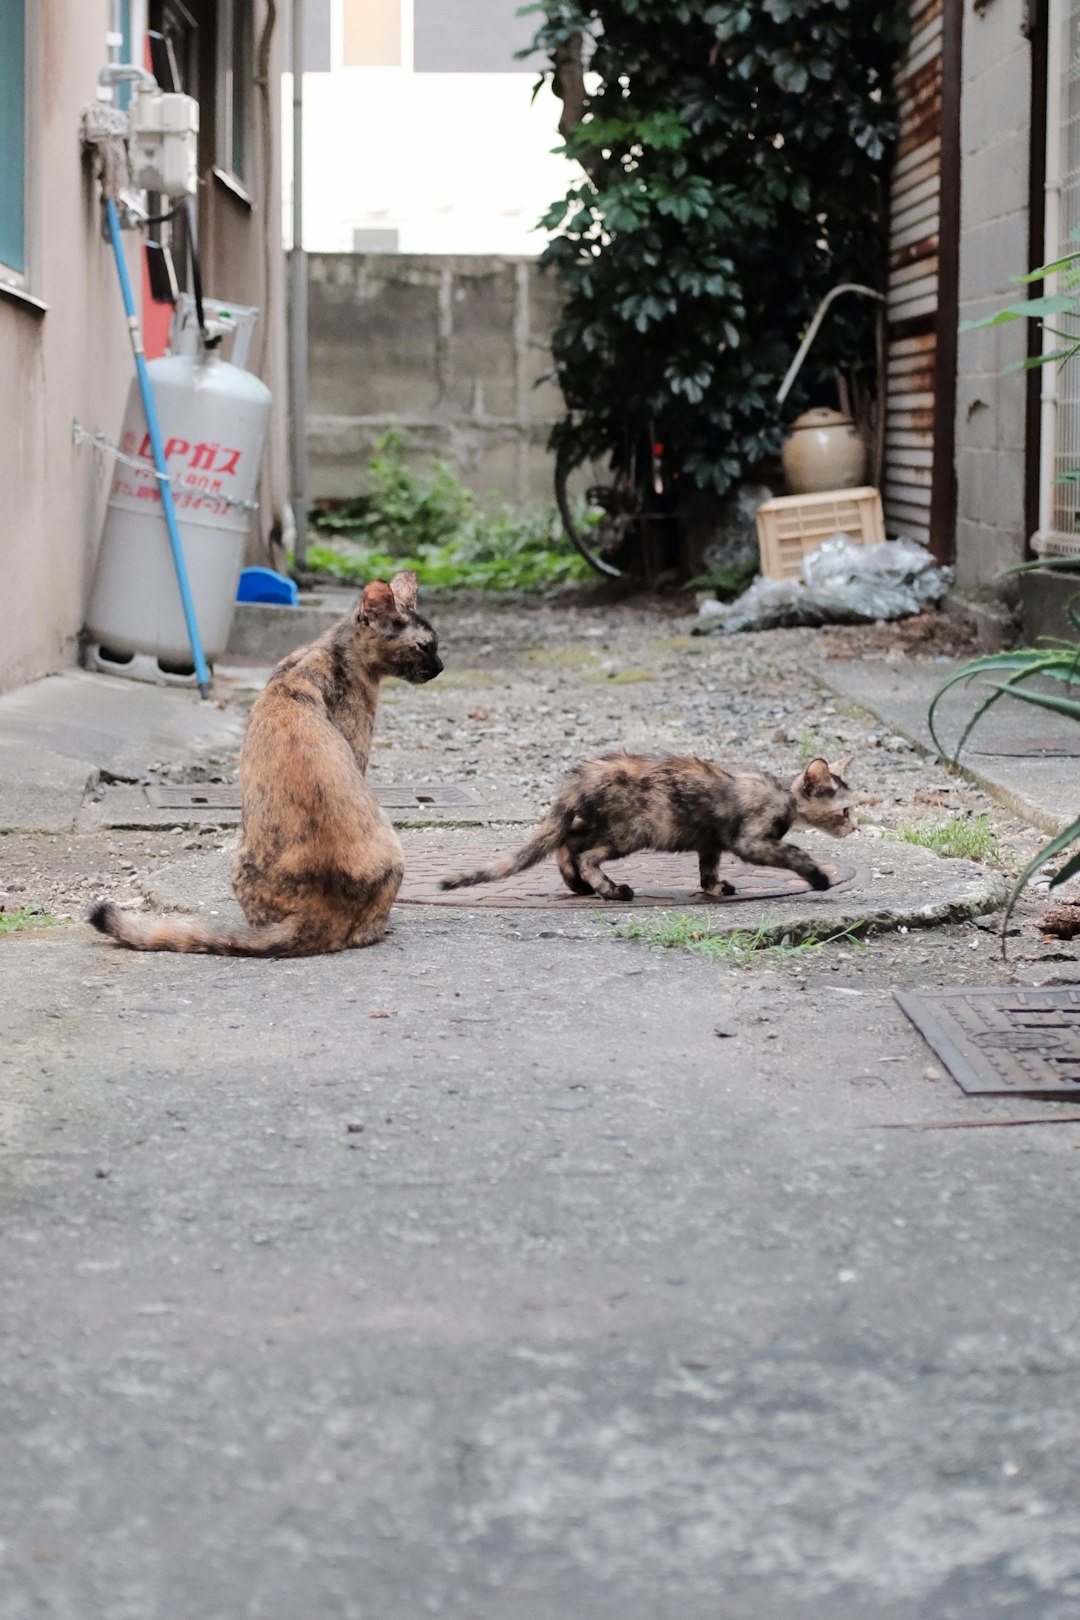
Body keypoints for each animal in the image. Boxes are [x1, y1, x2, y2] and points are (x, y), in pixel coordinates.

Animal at [440, 748, 854, 900]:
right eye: (847, 811)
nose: (856, 829)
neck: (784, 798)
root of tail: (585, 774)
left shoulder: (710, 842)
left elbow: (708, 868)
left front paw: (714, 888)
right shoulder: (751, 841)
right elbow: (796, 852)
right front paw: (818, 878)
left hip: (603, 825)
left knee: (566, 842)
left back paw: (580, 886)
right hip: (631, 832)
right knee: (584, 854)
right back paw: (611, 890)